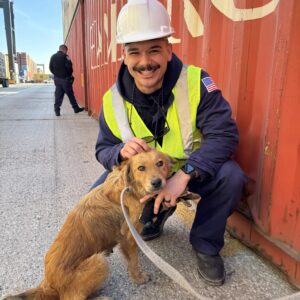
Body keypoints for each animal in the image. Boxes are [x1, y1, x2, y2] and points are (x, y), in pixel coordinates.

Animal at [4, 150, 172, 300]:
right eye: (141, 168)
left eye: (160, 163)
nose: (157, 182)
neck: (128, 187)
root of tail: (48, 283)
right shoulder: (129, 237)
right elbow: (134, 262)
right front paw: (139, 278)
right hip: (98, 262)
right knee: (71, 298)